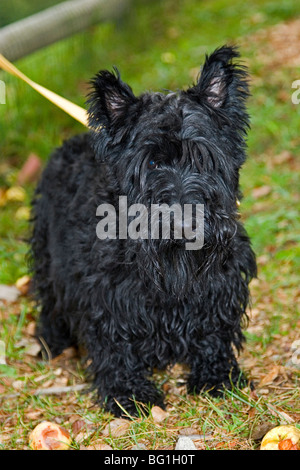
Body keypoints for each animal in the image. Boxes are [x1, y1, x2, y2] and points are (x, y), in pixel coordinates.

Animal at [29, 46, 255, 416]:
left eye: (203, 159)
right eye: (151, 163)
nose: (184, 224)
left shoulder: (220, 286)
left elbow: (214, 332)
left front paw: (217, 376)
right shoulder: (106, 297)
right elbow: (115, 345)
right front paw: (129, 393)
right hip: (47, 256)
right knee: (49, 301)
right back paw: (53, 342)